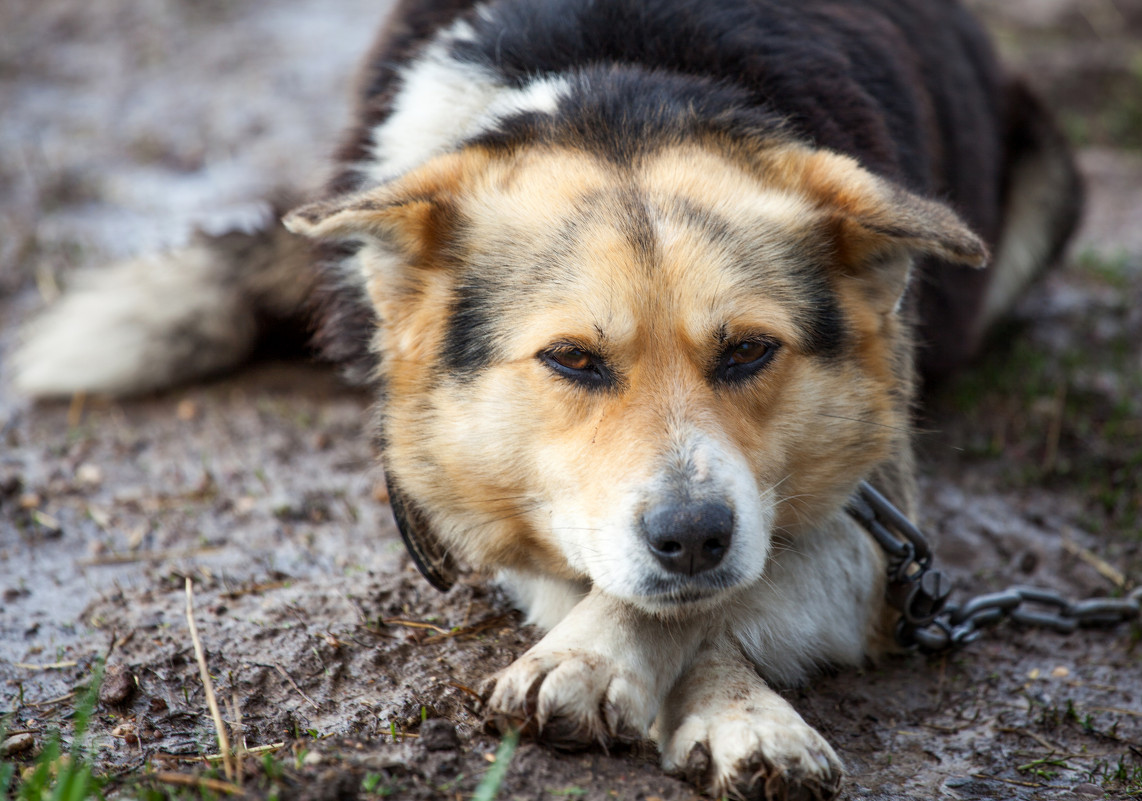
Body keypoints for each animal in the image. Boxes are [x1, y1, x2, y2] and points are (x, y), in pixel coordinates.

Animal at [13, 1, 1078, 795]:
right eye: (572, 360)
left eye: (747, 352)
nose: (694, 535)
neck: (619, 90)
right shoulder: (457, 507)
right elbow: (622, 577)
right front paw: (630, 664)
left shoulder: (877, 518)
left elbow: (732, 583)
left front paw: (679, 687)